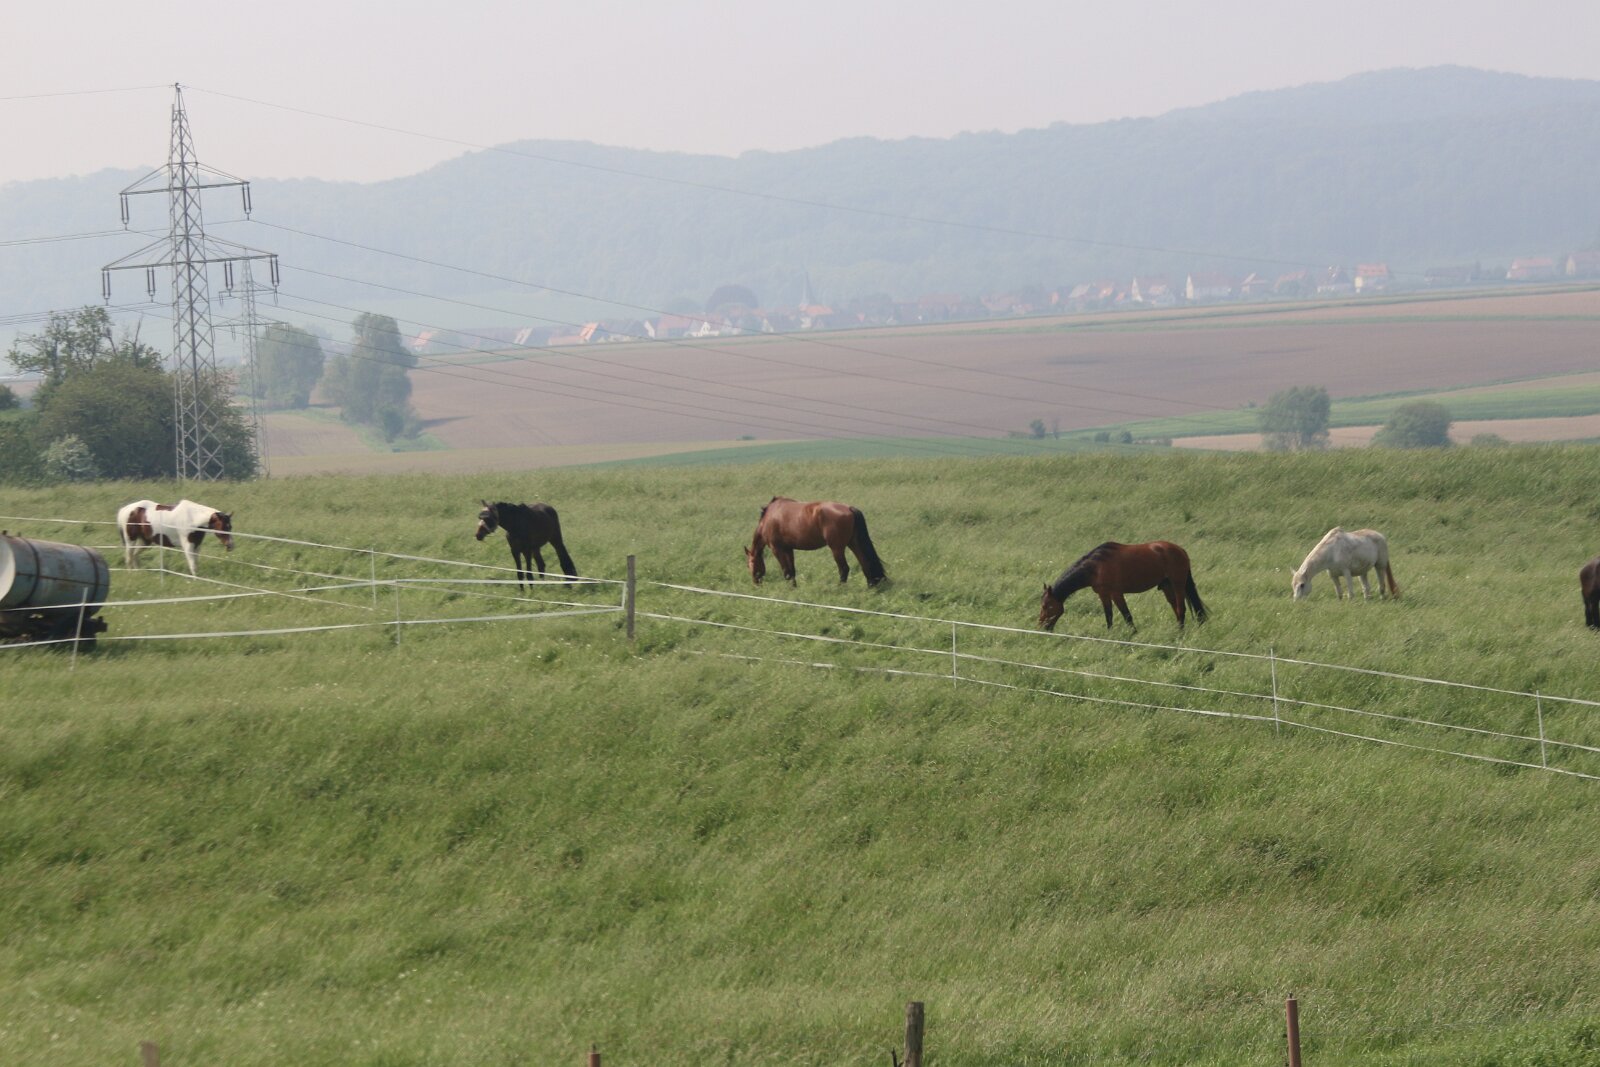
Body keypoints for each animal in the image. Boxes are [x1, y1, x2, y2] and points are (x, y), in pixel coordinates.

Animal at [745, 497, 886, 586]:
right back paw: (871, 585)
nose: (755, 582)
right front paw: (794, 588)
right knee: (865, 563)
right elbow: (792, 571)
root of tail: (849, 508)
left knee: (844, 569)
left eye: (751, 564)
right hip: (854, 543)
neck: (768, 518)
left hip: (837, 549)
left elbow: (786, 572)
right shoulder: (788, 549)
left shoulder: (777, 549)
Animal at [1038, 541, 1207, 631]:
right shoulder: (1103, 594)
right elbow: (1109, 616)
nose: (1042, 626)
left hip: (1178, 584)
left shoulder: (1116, 593)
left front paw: (1133, 633)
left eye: (1047, 606)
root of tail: (1180, 550)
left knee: (1181, 608)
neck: (1096, 567)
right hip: (1166, 586)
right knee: (1176, 609)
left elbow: (1127, 615)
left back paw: (1180, 633)